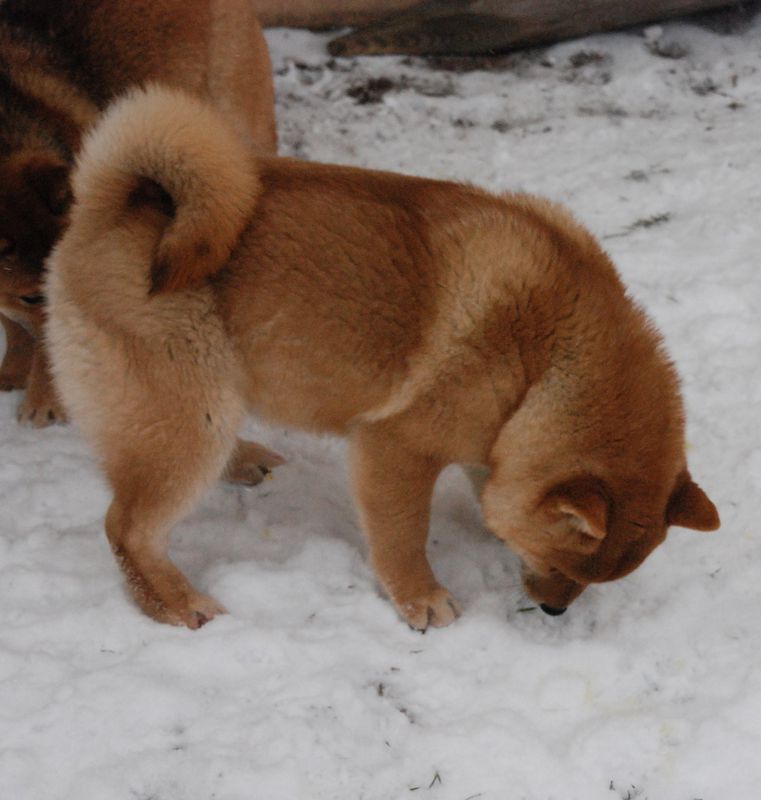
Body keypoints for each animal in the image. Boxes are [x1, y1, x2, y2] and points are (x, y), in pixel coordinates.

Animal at [47, 87, 720, 632]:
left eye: (587, 579)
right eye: (561, 563)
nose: (554, 610)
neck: (546, 361)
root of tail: (109, 202)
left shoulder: (491, 440)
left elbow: (488, 484)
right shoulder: (396, 447)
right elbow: (404, 536)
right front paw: (421, 598)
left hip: (208, 405)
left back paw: (241, 463)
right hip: (189, 420)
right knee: (127, 529)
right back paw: (174, 603)